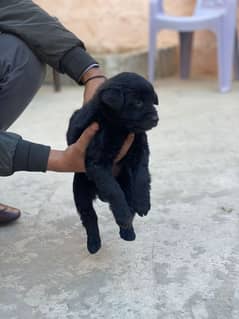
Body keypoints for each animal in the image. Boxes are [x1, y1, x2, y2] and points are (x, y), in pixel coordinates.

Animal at [66, 72, 159, 255]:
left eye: (152, 101)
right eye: (138, 102)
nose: (156, 118)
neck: (119, 128)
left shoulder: (140, 150)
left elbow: (142, 176)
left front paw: (143, 203)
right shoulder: (97, 162)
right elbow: (114, 191)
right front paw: (123, 216)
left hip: (126, 182)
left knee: (129, 202)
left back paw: (128, 232)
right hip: (81, 191)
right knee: (90, 217)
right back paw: (94, 243)